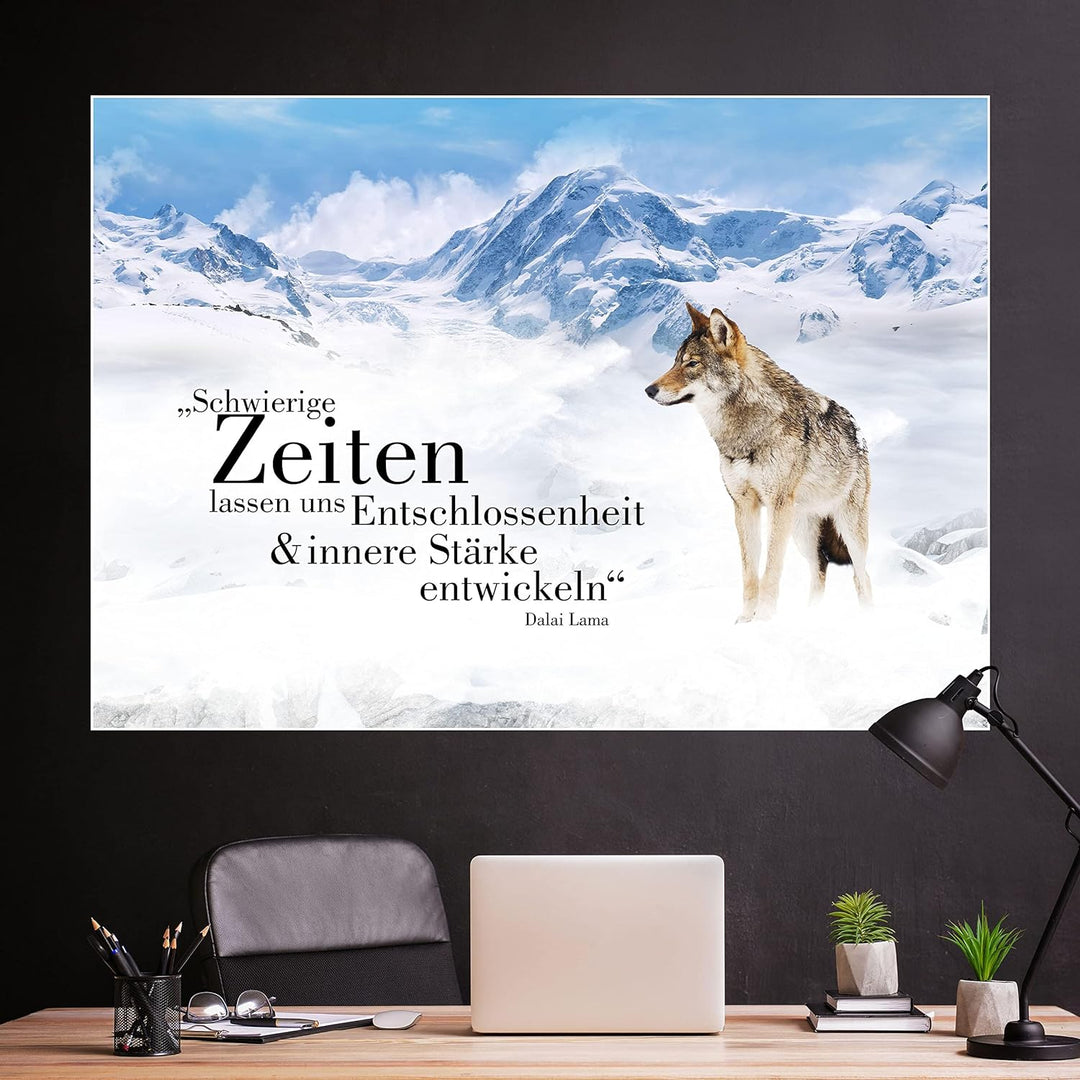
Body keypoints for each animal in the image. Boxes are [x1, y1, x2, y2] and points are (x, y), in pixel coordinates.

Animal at [646, 302, 871, 622]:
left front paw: (764, 619)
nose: (649, 390)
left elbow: (771, 570)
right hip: (803, 532)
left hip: (847, 531)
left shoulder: (776, 506)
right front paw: (745, 620)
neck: (744, 433)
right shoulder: (743, 505)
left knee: (862, 577)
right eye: (675, 361)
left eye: (692, 364)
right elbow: (750, 573)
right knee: (820, 570)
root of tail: (859, 432)